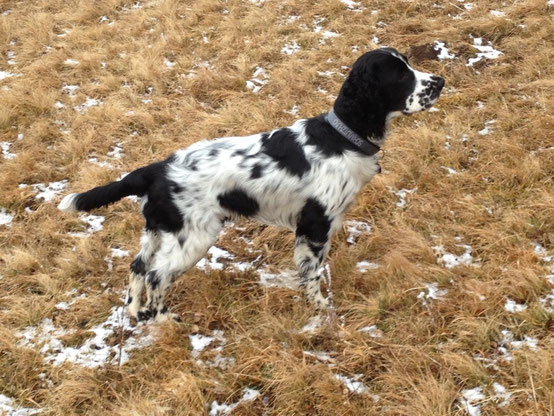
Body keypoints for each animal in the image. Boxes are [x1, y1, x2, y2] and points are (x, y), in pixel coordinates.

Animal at [58, 47, 442, 324]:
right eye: (400, 75)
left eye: (409, 64)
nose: (439, 81)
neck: (343, 135)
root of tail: (157, 169)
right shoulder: (315, 226)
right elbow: (313, 275)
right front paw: (322, 311)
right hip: (193, 237)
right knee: (156, 276)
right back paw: (167, 321)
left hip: (158, 230)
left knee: (138, 267)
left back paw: (138, 314)